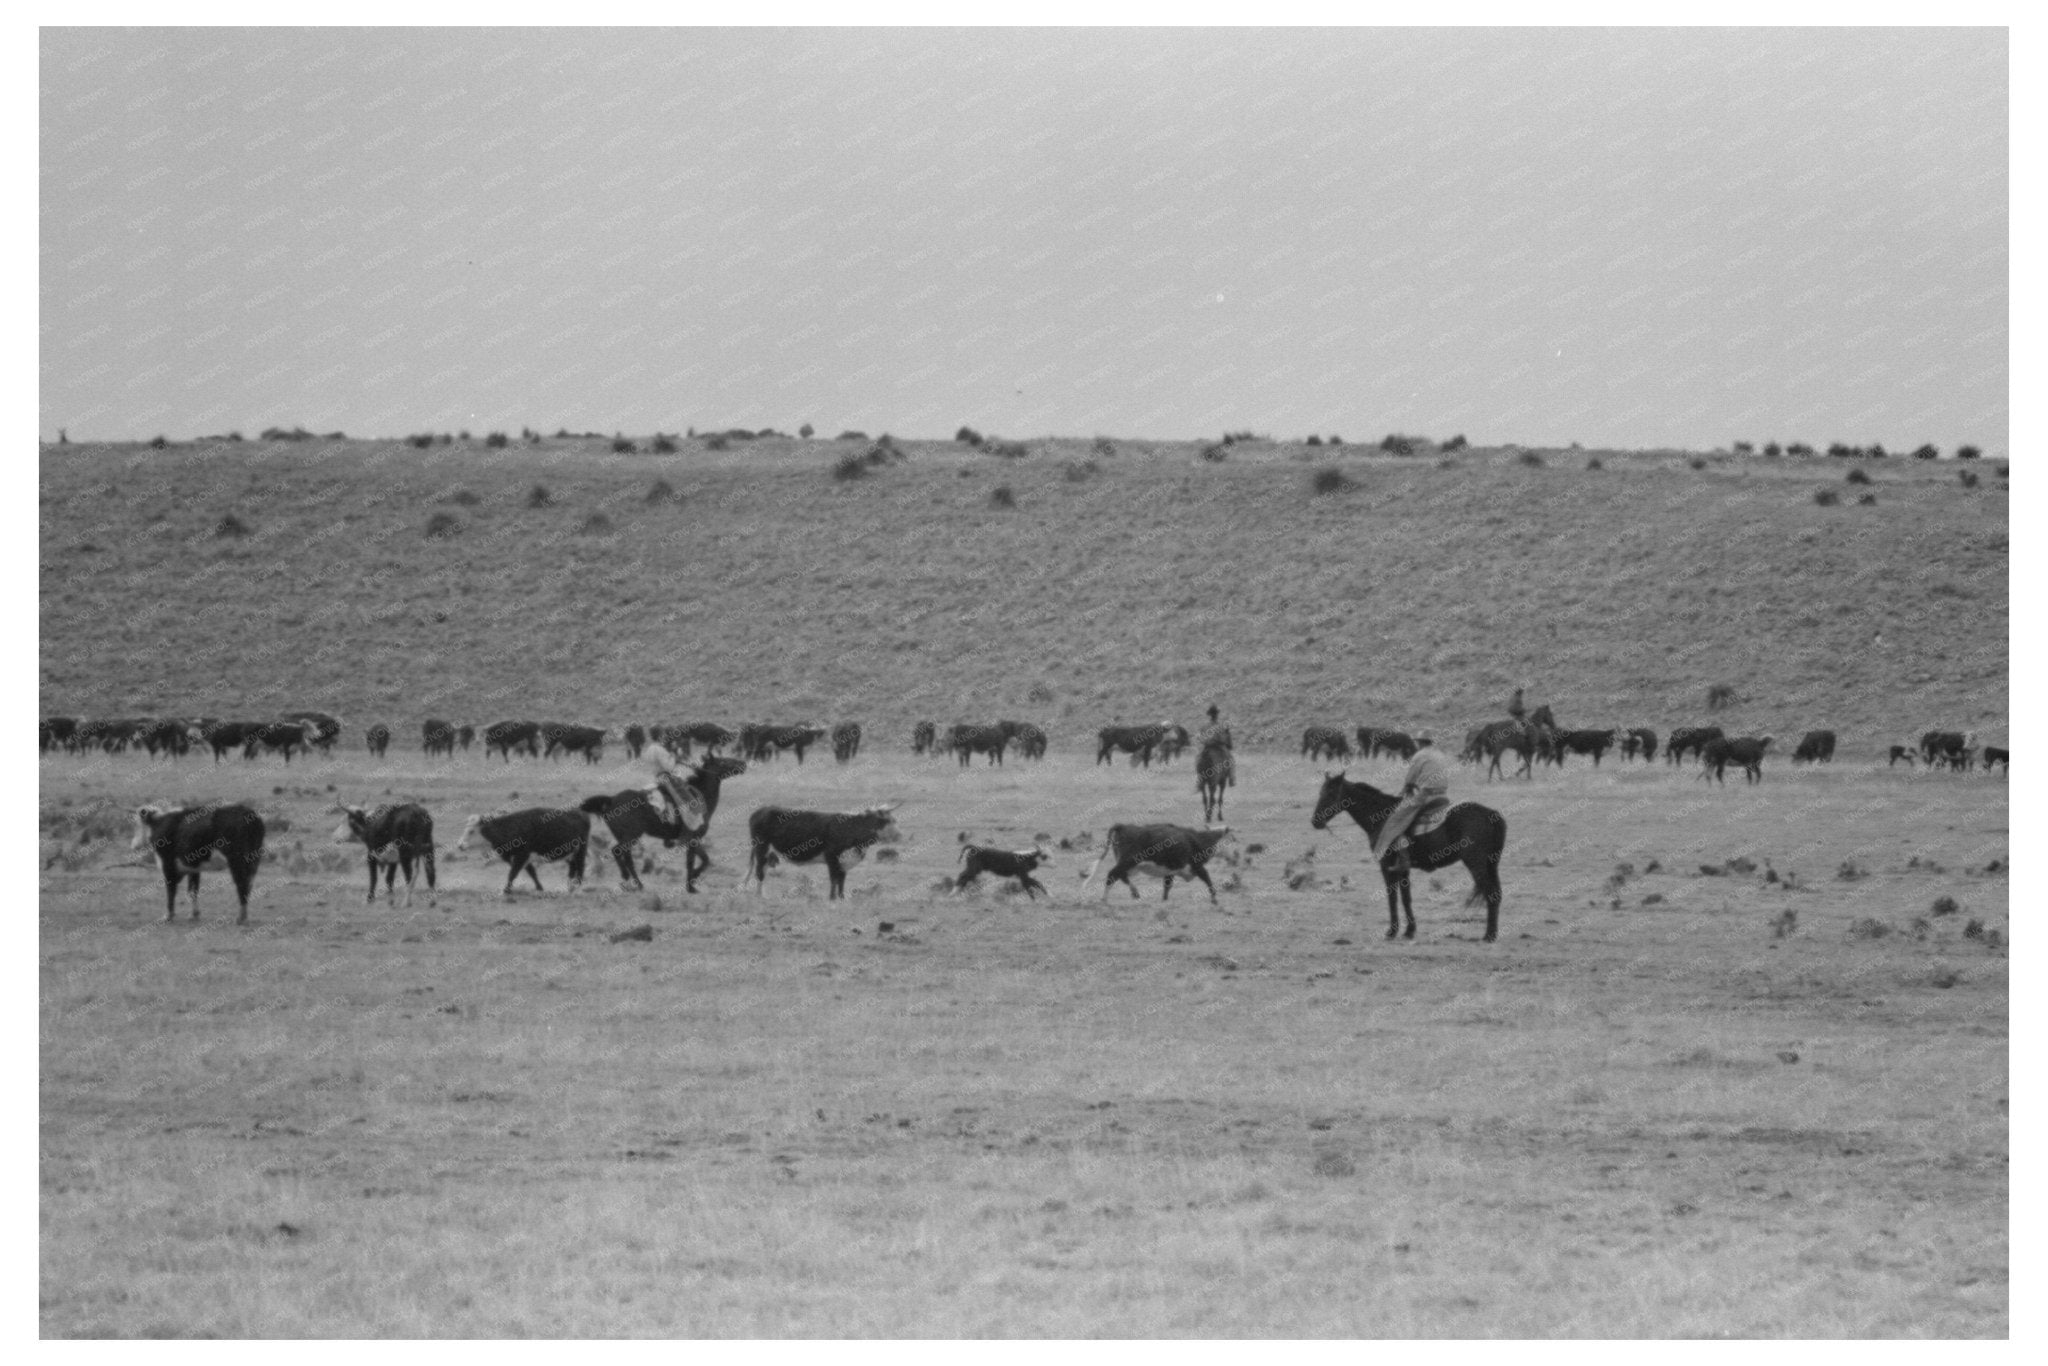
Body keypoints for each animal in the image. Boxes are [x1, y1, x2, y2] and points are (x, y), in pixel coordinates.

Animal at [131, 803, 266, 923]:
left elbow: (171, 890)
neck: (159, 823)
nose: (133, 845)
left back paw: (240, 918)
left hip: (237, 860)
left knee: (242, 884)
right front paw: (194, 915)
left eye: (137, 825)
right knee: (248, 885)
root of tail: (248, 812)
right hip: (253, 860)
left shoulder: (168, 864)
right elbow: (193, 890)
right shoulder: (193, 867)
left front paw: (168, 916)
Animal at [456, 808, 599, 896]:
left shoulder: (522, 856)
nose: (460, 845)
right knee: (573, 867)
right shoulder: (521, 857)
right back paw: (569, 887)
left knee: (580, 867)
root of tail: (582, 814)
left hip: (581, 850)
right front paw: (539, 888)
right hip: (570, 853)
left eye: (471, 831)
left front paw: (505, 891)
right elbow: (531, 872)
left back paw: (576, 888)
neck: (509, 828)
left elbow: (512, 874)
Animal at [581, 754, 747, 893]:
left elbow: (697, 861)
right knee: (619, 852)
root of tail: (611, 800)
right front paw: (692, 884)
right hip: (631, 836)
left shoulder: (691, 841)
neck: (698, 797)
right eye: (723, 761)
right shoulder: (692, 839)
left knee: (622, 855)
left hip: (625, 837)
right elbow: (700, 861)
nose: (743, 763)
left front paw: (691, 885)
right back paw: (633, 881)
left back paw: (631, 880)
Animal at [746, 804, 902, 899]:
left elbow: (841, 880)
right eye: (884, 821)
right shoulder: (831, 857)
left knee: (763, 870)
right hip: (762, 848)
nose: (899, 835)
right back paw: (760, 896)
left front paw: (841, 898)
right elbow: (834, 879)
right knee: (759, 872)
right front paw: (832, 898)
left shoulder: (844, 861)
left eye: (894, 820)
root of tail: (762, 810)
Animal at [1082, 823, 1234, 904]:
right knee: (1112, 874)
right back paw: (1104, 899)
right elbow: (1207, 879)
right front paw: (1214, 899)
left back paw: (1135, 893)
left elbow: (1167, 886)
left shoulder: (1170, 871)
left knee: (1122, 876)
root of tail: (1123, 826)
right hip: (1128, 861)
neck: (1197, 839)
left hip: (1127, 863)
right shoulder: (1196, 866)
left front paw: (1164, 900)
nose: (1235, 857)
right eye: (1234, 838)